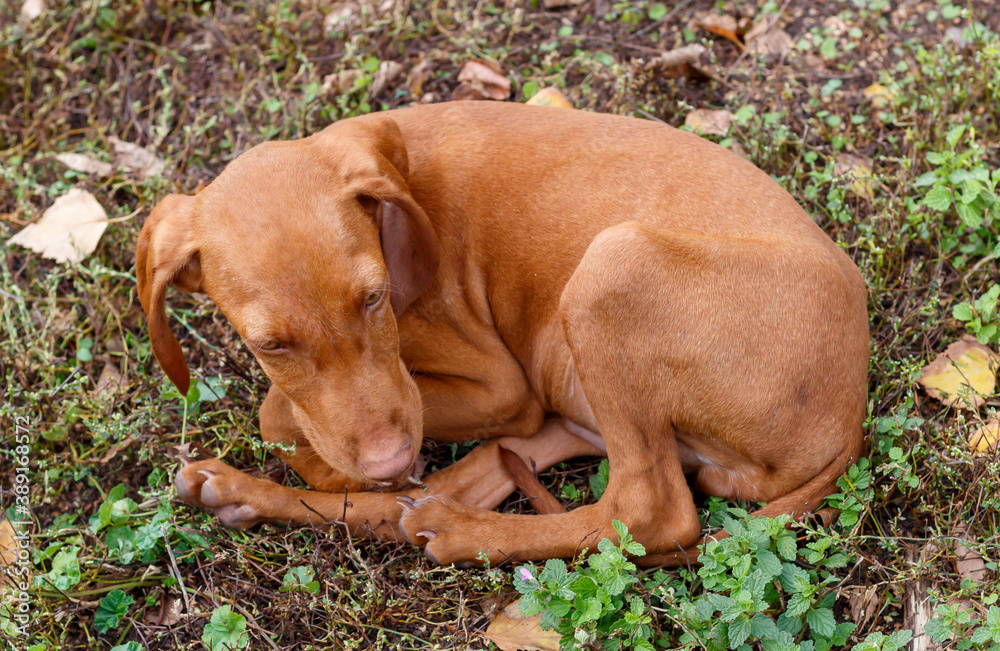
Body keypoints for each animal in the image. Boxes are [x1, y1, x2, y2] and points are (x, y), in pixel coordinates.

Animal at [137, 100, 872, 564]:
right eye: (269, 345)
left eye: (375, 296)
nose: (387, 463)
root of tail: (847, 425)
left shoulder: (501, 388)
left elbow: (276, 410)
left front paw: (319, 458)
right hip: (566, 394)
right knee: (454, 487)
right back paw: (249, 494)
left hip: (612, 267)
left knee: (649, 508)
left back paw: (453, 531)